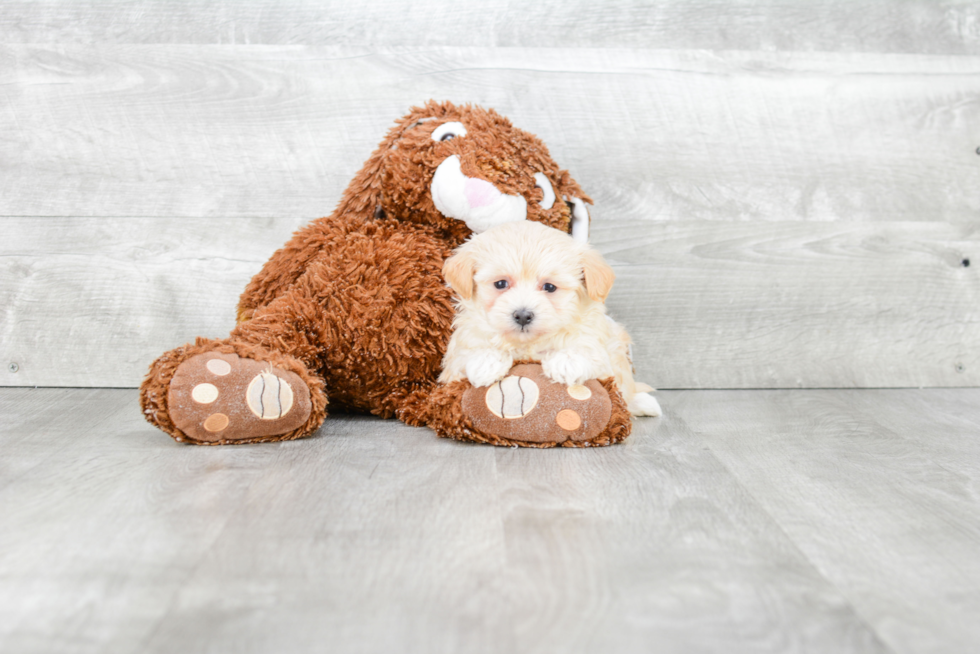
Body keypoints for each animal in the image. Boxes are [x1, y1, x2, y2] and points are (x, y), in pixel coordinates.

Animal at [440, 219, 664, 416]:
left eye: (549, 287)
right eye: (500, 284)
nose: (523, 315)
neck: (528, 344)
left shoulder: (601, 350)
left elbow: (588, 351)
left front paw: (565, 363)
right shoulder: (452, 364)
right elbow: (468, 353)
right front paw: (485, 362)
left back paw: (643, 403)